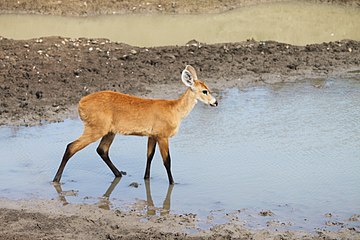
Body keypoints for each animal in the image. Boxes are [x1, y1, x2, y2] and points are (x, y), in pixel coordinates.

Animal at [52, 64, 218, 185]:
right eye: (205, 91)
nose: (215, 102)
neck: (174, 109)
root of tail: (81, 102)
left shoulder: (152, 136)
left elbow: (149, 156)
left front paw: (146, 178)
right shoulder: (163, 137)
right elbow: (167, 161)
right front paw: (173, 183)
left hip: (109, 132)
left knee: (102, 150)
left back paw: (119, 174)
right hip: (96, 130)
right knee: (71, 147)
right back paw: (56, 179)